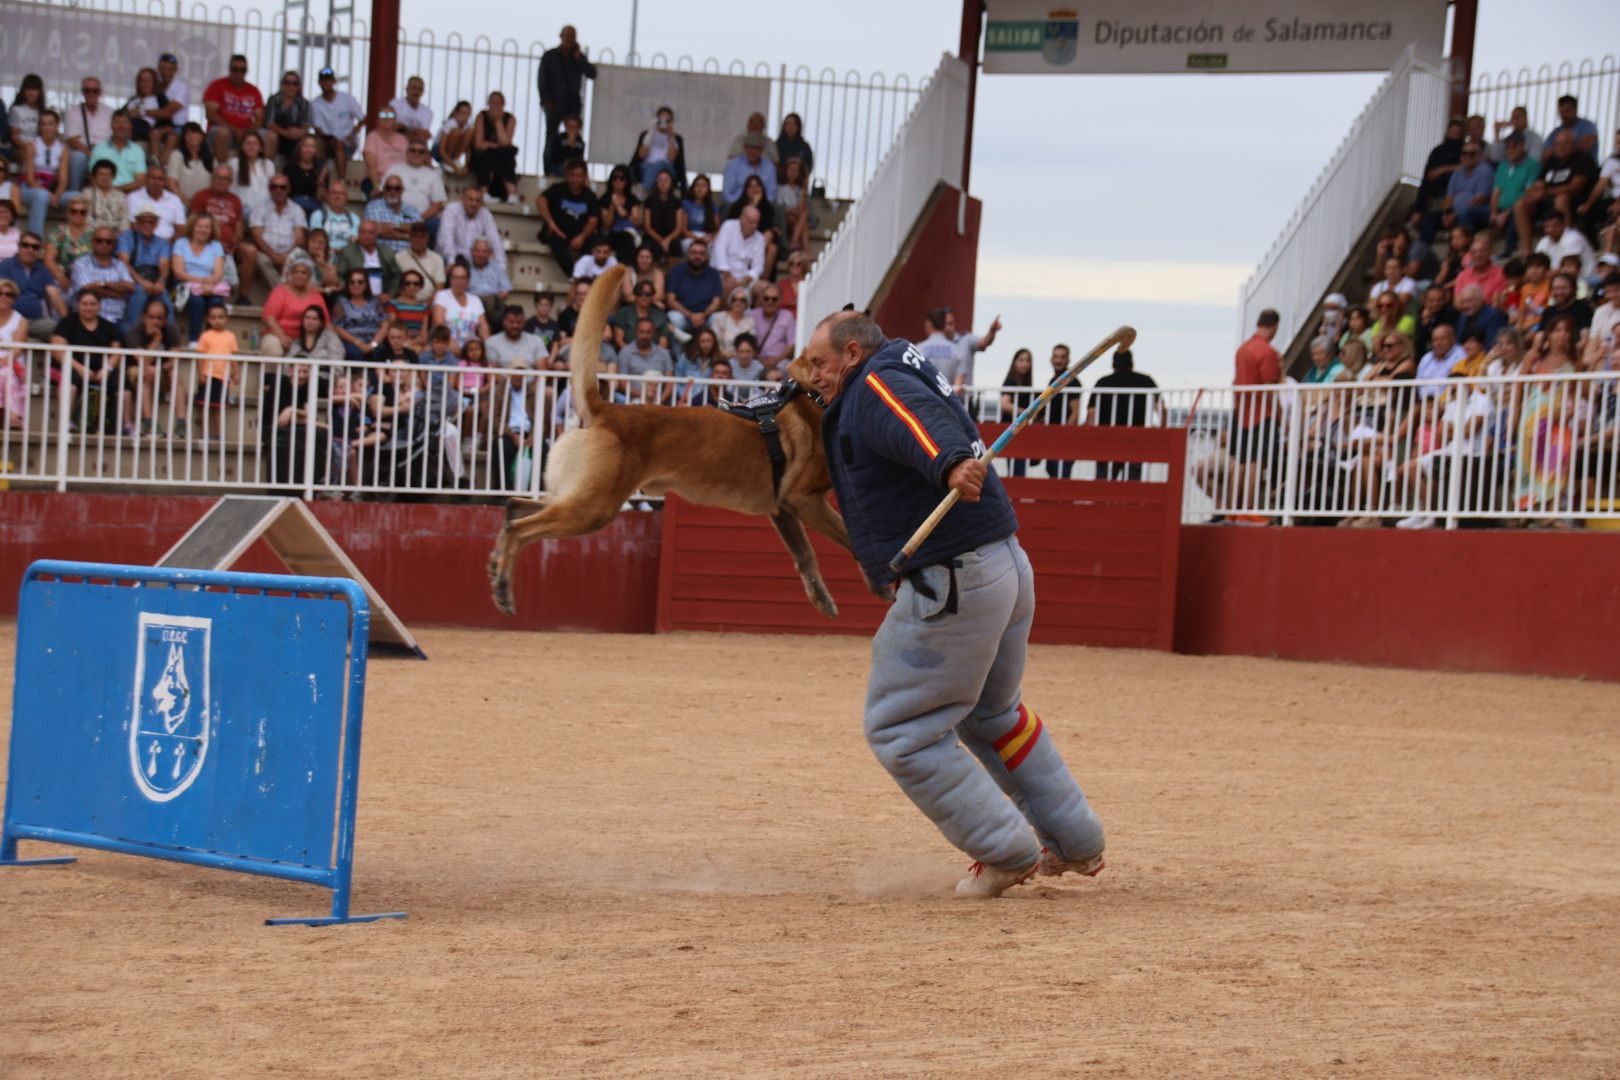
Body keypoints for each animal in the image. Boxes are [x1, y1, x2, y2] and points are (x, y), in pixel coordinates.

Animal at [486, 263, 855, 615]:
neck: (811, 394)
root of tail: (605, 409)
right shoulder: (804, 500)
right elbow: (848, 539)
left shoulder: (783, 510)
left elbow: (806, 556)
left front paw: (823, 600)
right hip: (592, 508)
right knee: (521, 528)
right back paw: (502, 587)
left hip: (578, 499)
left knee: (514, 508)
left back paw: (496, 563)